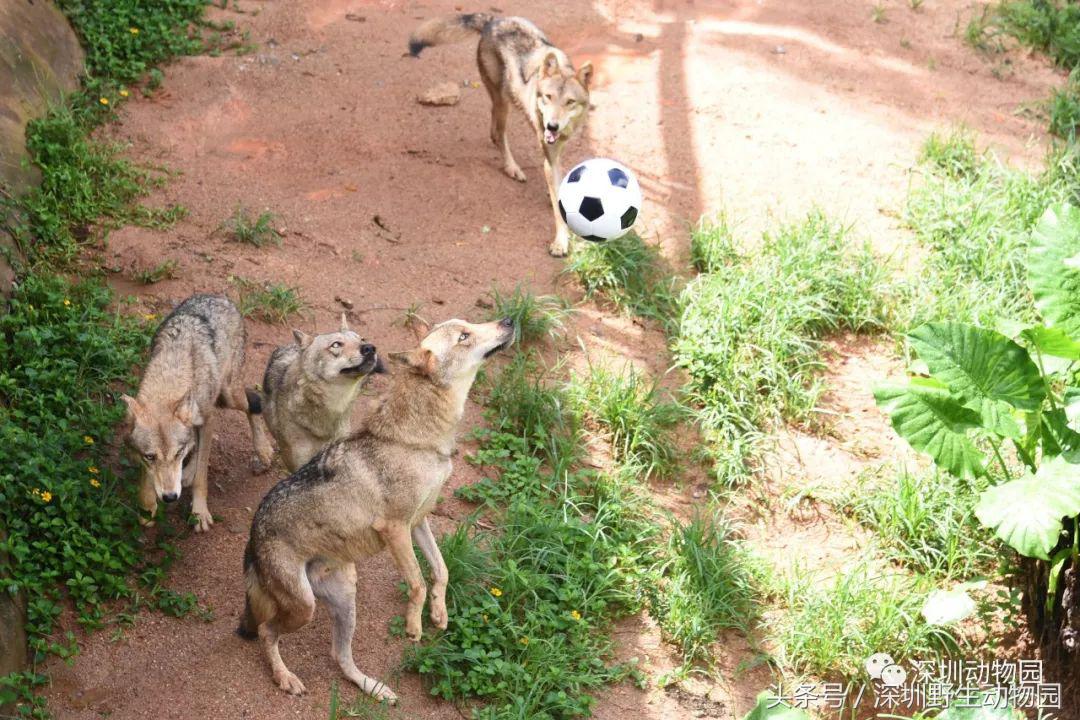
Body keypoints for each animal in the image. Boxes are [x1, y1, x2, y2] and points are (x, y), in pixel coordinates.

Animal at [120, 293, 274, 535]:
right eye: (150, 457)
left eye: (176, 453)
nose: (170, 497)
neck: (170, 377)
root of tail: (220, 297)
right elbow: (148, 478)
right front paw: (147, 508)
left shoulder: (208, 420)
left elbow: (202, 475)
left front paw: (199, 513)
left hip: (230, 395)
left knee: (254, 403)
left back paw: (264, 450)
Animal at [406, 12, 591, 257]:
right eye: (548, 97)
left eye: (569, 102)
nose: (551, 126)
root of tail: (493, 20)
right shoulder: (549, 154)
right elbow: (558, 207)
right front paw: (561, 242)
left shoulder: (558, 151)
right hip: (504, 102)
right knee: (497, 134)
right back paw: (512, 168)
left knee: (493, 131)